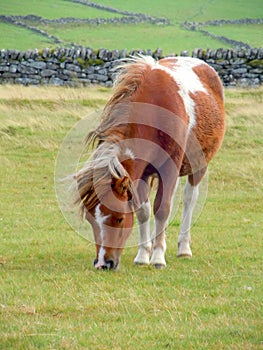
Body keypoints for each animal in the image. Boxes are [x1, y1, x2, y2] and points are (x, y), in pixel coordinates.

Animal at [75, 56, 227, 270]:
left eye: (119, 219)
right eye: (90, 219)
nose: (103, 263)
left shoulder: (169, 168)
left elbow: (162, 210)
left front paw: (157, 257)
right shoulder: (142, 173)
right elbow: (144, 211)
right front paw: (143, 255)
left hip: (199, 165)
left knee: (189, 198)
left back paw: (183, 248)